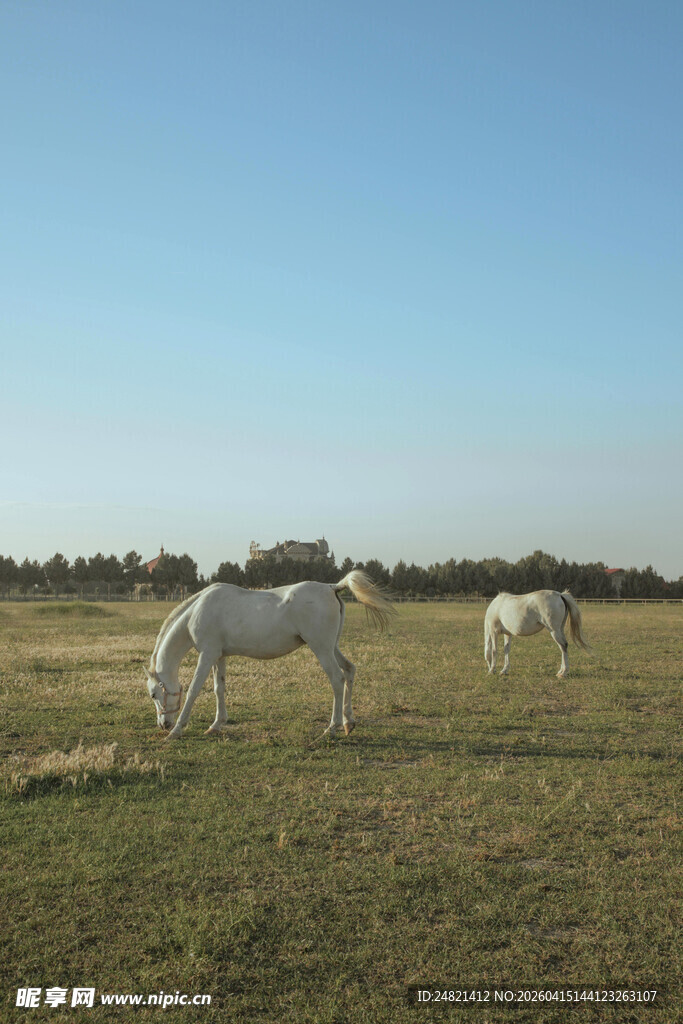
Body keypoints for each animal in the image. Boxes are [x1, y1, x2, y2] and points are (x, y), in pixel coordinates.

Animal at [144, 571, 394, 739]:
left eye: (154, 694)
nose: (163, 724)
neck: (197, 611)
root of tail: (332, 587)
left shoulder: (206, 655)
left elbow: (194, 690)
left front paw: (177, 731)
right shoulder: (218, 656)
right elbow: (219, 688)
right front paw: (216, 724)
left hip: (321, 648)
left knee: (337, 679)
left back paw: (331, 728)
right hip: (331, 646)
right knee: (350, 670)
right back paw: (348, 722)